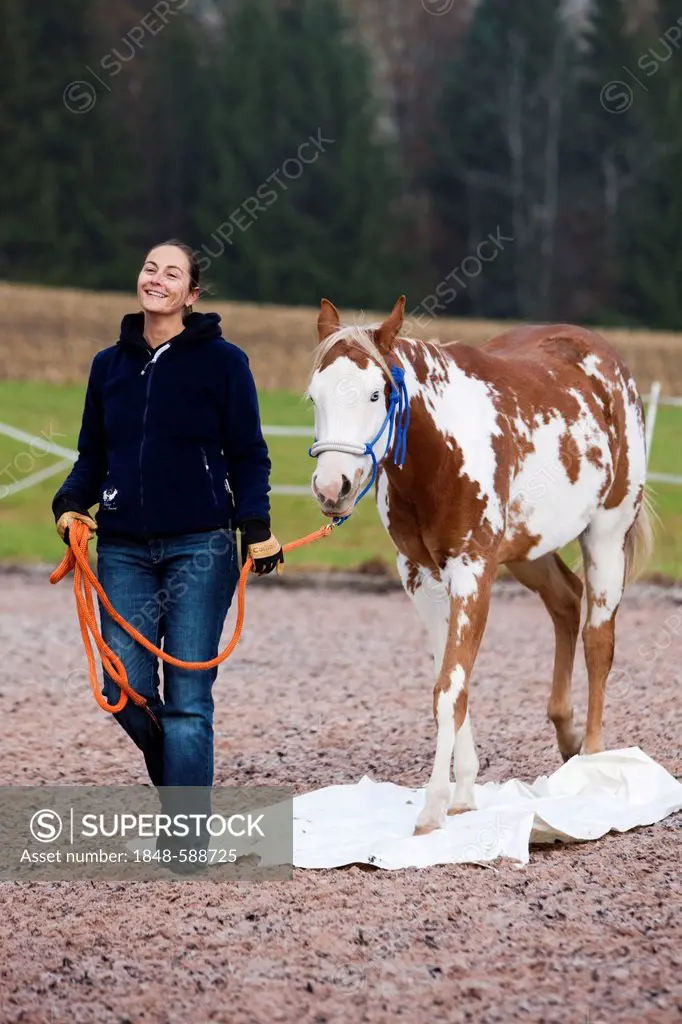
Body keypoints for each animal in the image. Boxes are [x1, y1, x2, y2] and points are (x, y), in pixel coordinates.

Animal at [305, 294, 651, 831]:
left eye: (376, 393)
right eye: (314, 396)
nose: (330, 487)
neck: (442, 453)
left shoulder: (472, 573)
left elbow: (450, 688)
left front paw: (432, 808)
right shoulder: (420, 578)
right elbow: (449, 678)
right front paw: (464, 792)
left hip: (605, 538)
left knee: (598, 639)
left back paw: (593, 760)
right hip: (529, 551)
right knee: (566, 603)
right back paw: (567, 734)